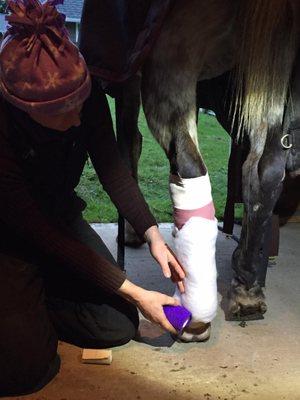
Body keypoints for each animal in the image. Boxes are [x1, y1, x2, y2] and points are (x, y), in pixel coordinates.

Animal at [79, 0, 300, 338]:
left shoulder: (130, 72)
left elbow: (128, 147)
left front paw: (129, 234)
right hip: (274, 63)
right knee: (265, 172)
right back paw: (246, 290)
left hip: (174, 52)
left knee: (188, 163)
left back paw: (197, 316)